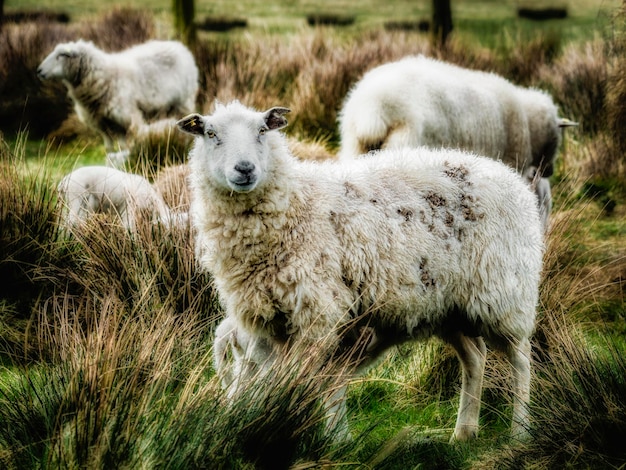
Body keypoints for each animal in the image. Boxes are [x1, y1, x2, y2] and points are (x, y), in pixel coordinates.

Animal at [37, 39, 199, 166]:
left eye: (61, 55)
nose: (39, 71)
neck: (103, 75)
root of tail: (179, 46)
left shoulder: (127, 117)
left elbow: (130, 143)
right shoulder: (103, 122)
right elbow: (111, 148)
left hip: (184, 102)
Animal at [176, 101, 540, 442]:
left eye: (262, 131)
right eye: (211, 134)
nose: (245, 169)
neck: (296, 205)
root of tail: (510, 177)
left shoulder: (318, 314)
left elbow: (322, 380)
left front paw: (334, 437)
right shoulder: (267, 323)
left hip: (503, 293)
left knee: (521, 358)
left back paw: (519, 432)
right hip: (449, 305)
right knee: (475, 357)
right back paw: (463, 433)